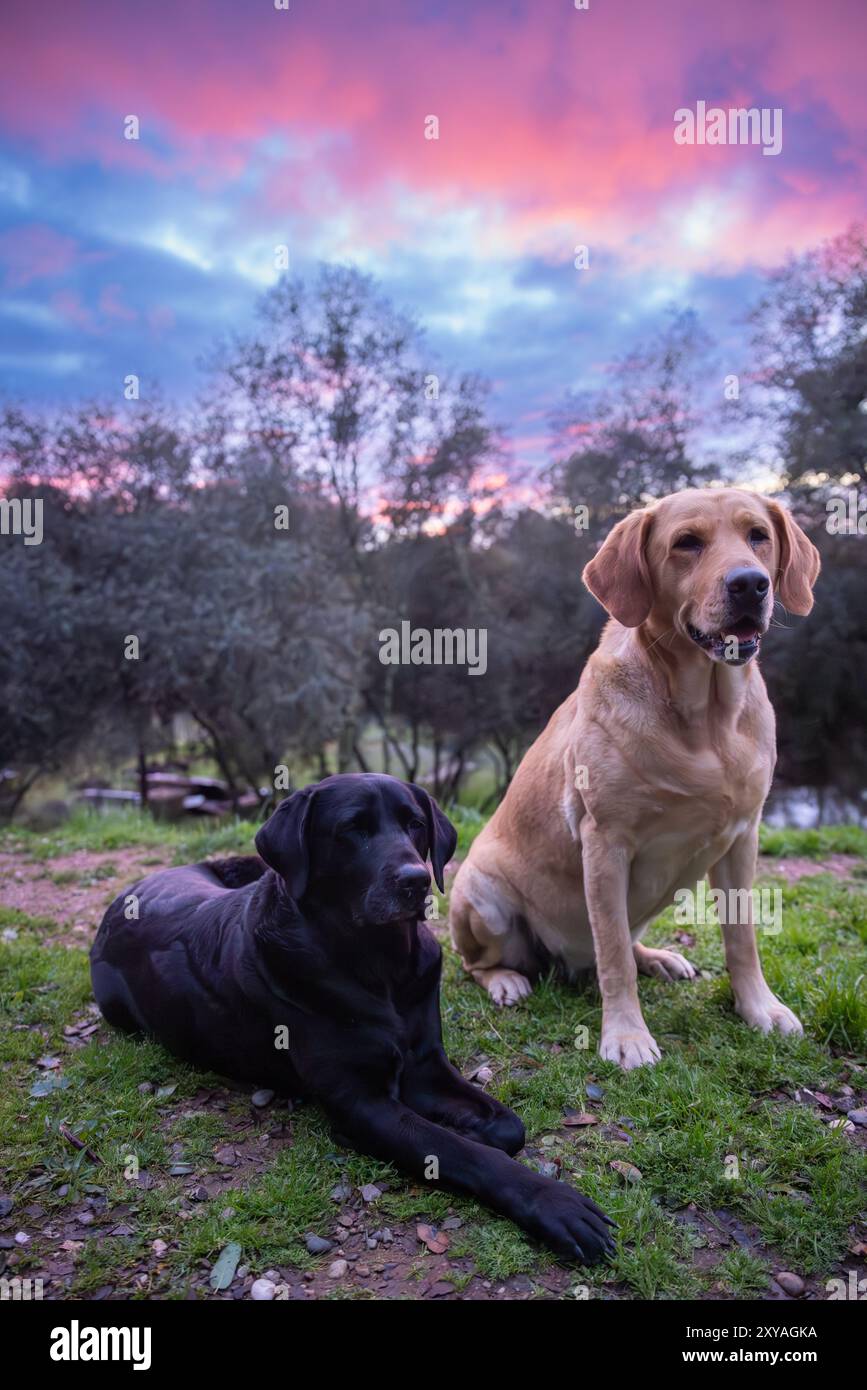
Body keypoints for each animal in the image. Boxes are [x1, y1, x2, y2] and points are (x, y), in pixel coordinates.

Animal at [91, 778, 614, 1267]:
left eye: (415, 824)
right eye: (351, 830)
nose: (416, 880)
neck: (381, 965)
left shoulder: (426, 1063)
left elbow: (509, 1126)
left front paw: (476, 1127)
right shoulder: (361, 1102)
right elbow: (457, 1151)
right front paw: (552, 1202)